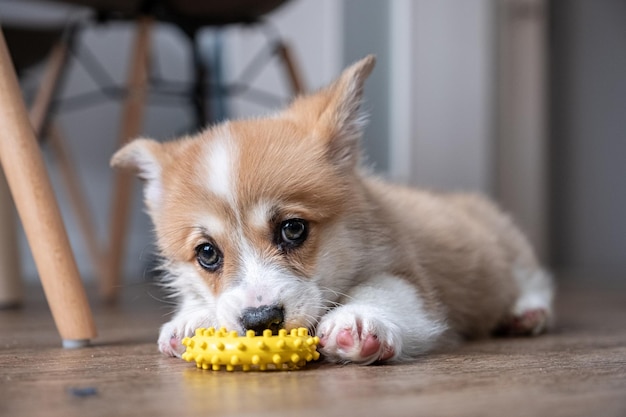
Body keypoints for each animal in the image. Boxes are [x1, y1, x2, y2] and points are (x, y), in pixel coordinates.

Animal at [112, 56, 552, 364]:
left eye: (293, 229)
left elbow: (384, 291)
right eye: (207, 253)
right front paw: (192, 318)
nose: (260, 321)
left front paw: (357, 320)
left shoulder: (411, 280)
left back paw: (528, 313)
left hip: (506, 245)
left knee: (534, 278)